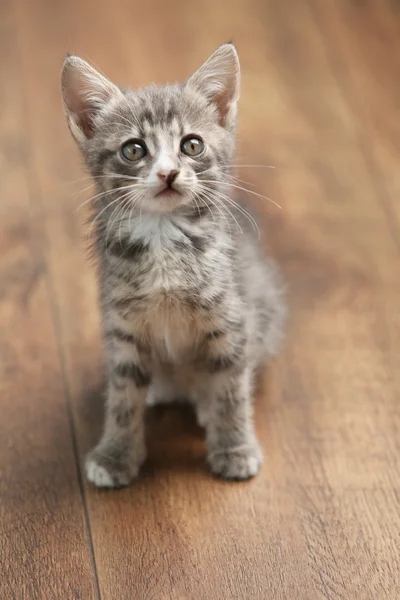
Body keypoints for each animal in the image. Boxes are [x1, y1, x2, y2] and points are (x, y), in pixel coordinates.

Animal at [61, 43, 284, 488]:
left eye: (191, 145)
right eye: (133, 149)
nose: (167, 173)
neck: (164, 236)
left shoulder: (231, 319)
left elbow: (231, 389)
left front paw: (234, 448)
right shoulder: (123, 327)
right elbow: (123, 398)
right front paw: (115, 454)